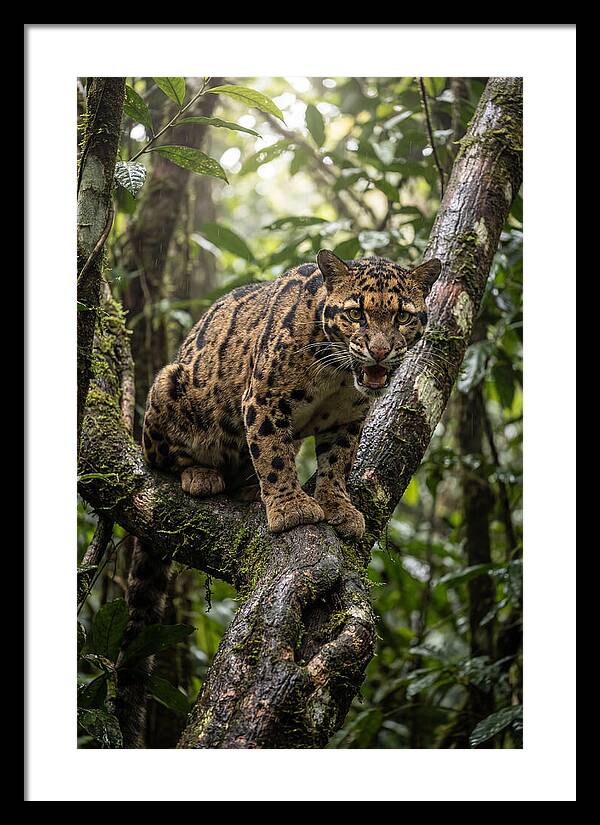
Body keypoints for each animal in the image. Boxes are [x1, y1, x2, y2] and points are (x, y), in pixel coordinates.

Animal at [142, 249, 442, 540]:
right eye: (356, 314)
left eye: (402, 317)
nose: (379, 351)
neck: (337, 374)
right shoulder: (264, 399)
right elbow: (273, 454)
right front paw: (291, 507)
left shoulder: (347, 418)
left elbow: (338, 462)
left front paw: (338, 505)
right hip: (168, 383)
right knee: (164, 460)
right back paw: (201, 474)